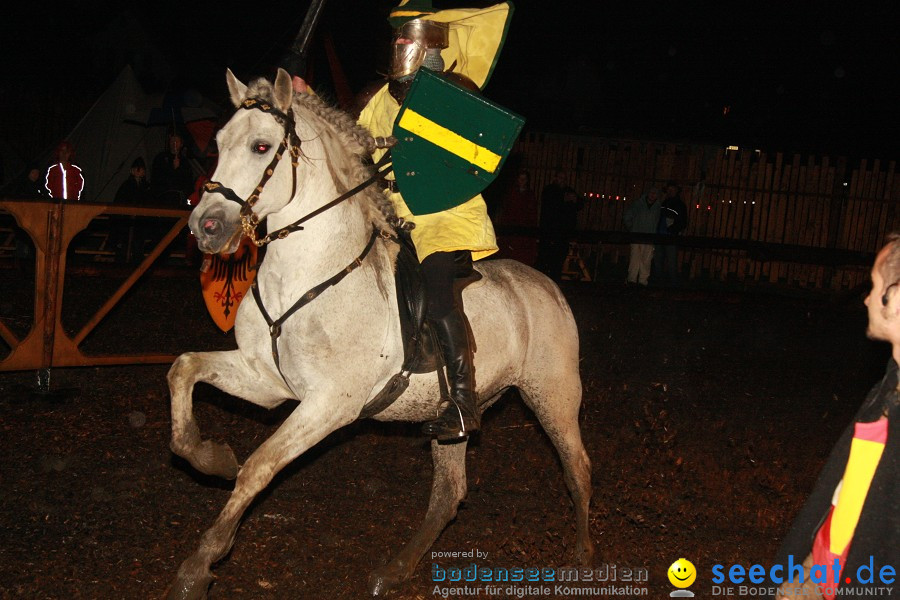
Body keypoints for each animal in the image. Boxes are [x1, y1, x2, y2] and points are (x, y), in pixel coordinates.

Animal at [166, 68, 596, 596]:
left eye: (261, 147)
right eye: (219, 142)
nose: (205, 227)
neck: (308, 276)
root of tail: (546, 286)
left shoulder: (330, 405)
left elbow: (259, 467)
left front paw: (197, 566)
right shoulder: (265, 381)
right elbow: (183, 370)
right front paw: (211, 458)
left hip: (553, 395)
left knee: (577, 469)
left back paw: (583, 556)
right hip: (452, 417)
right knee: (449, 492)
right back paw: (395, 569)